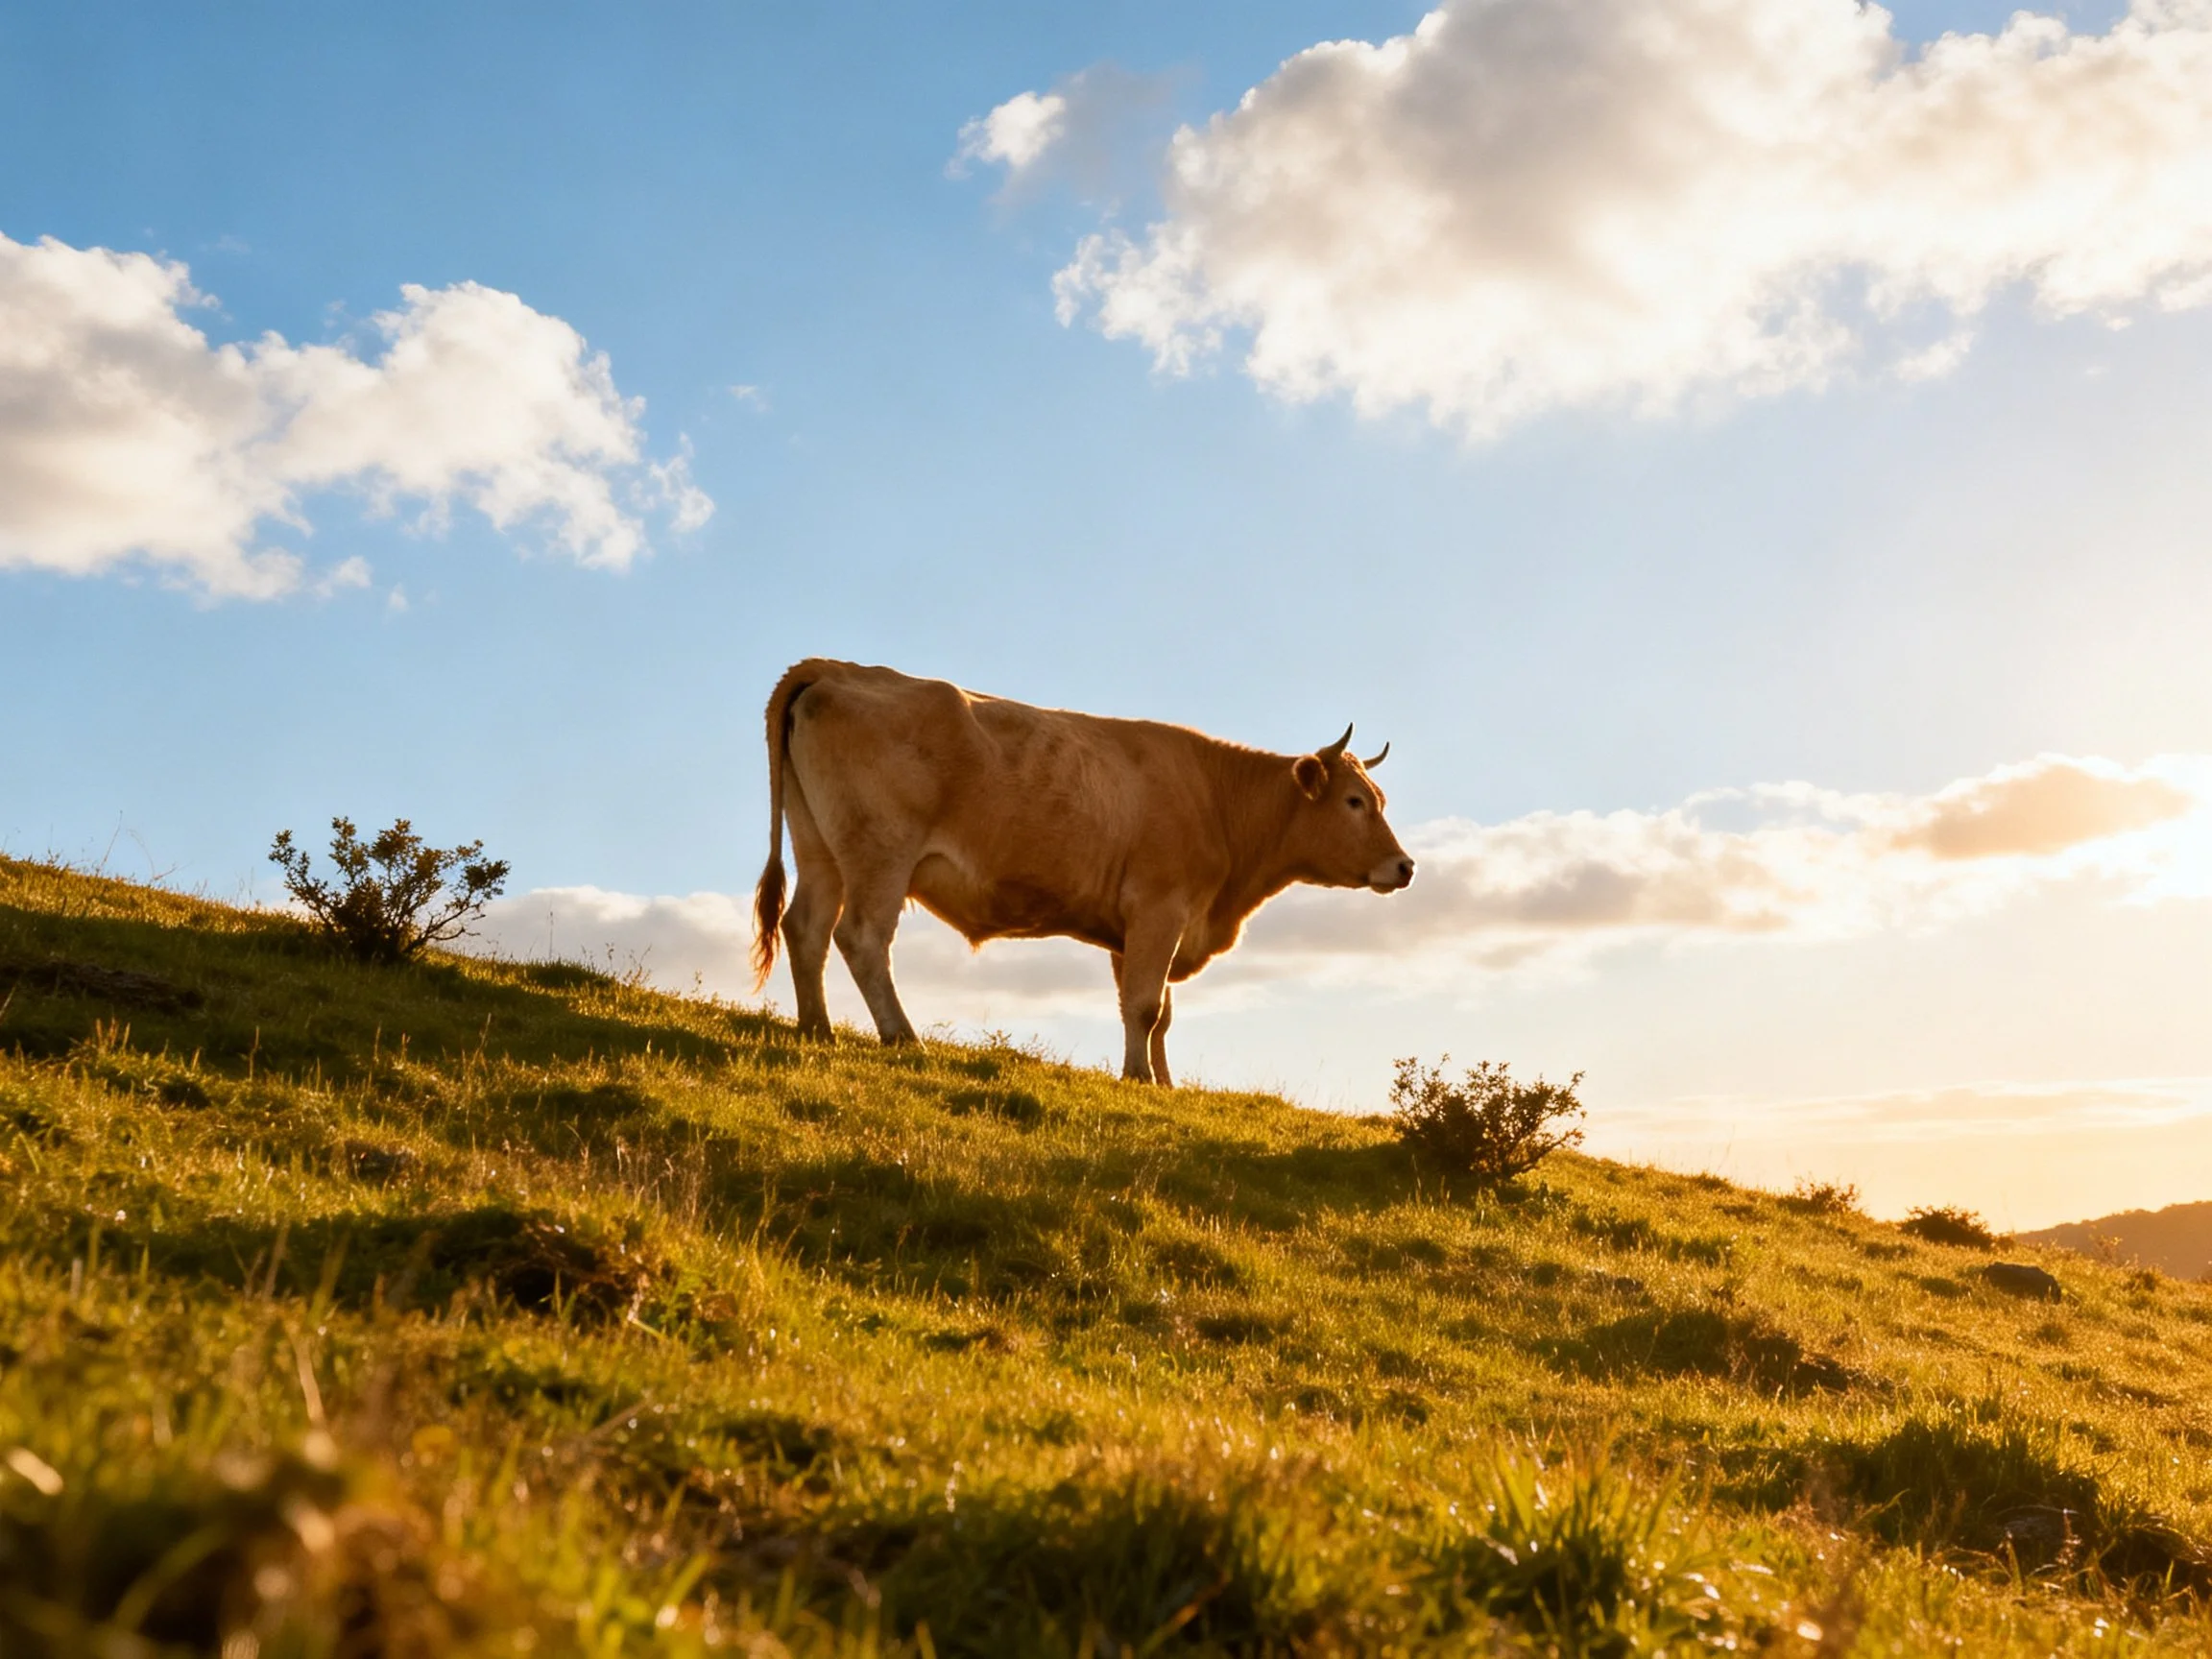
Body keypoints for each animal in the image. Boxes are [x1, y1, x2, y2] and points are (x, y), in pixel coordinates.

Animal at [749, 659, 1414, 1085]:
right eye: (1355, 801)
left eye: (1380, 798)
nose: (1405, 866)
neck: (1218, 800)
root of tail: (837, 667)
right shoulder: (1160, 907)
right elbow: (1145, 1006)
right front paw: (1138, 1078)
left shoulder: (1139, 925)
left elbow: (1156, 1012)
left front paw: (1163, 1083)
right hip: (879, 854)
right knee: (861, 937)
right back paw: (901, 1037)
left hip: (821, 851)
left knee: (806, 928)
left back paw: (818, 1029)